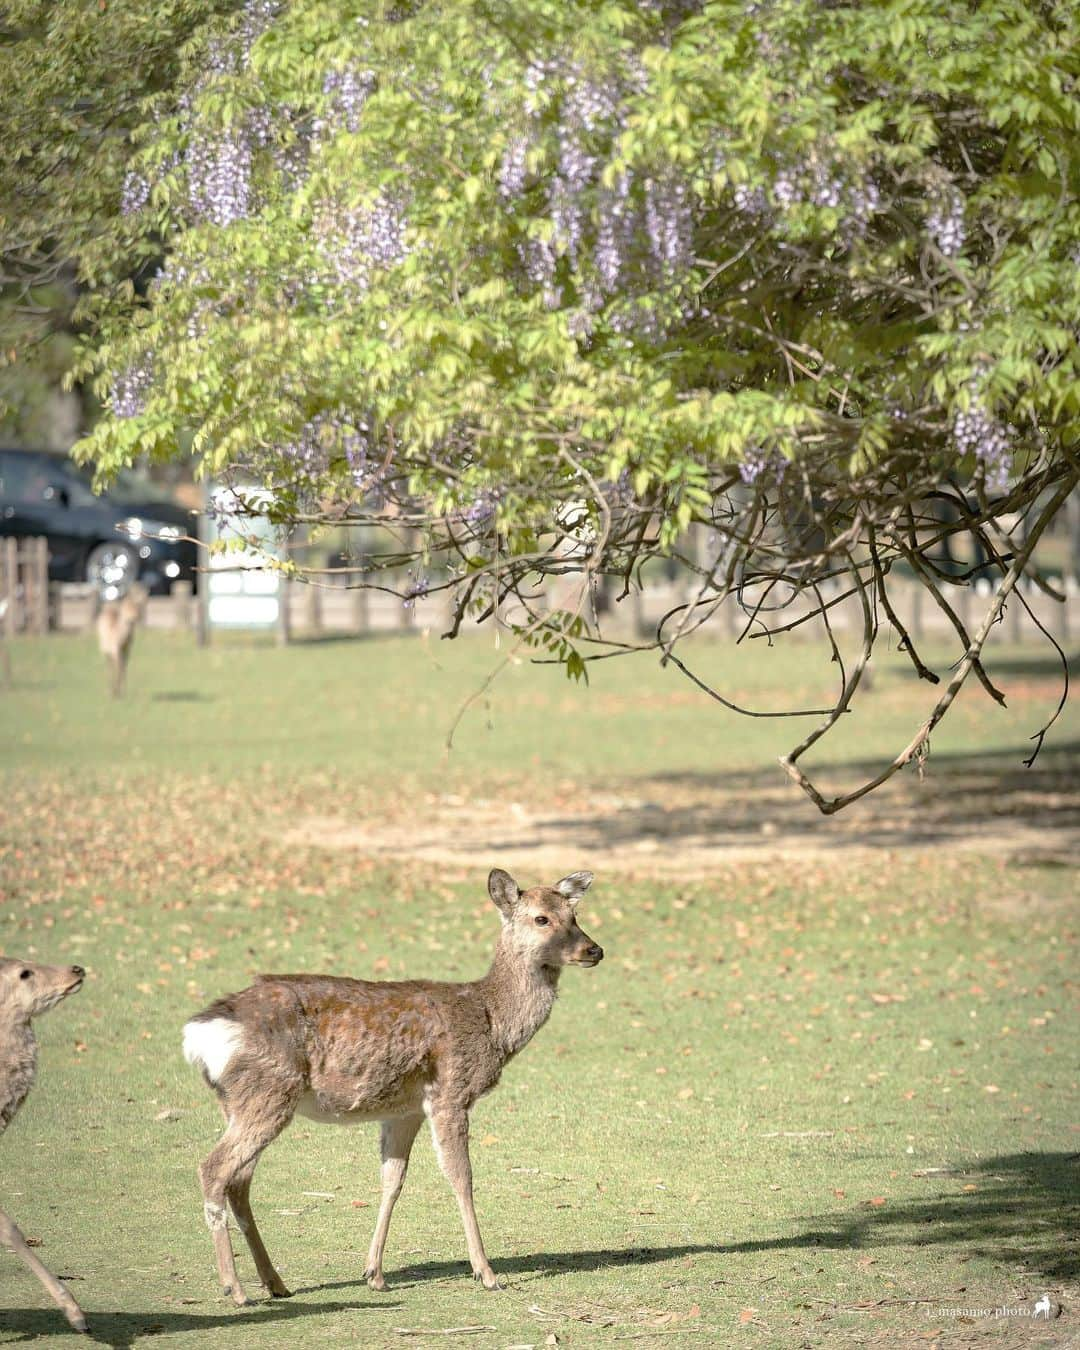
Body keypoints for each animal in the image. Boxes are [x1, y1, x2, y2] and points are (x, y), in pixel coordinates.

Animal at [186, 869, 607, 1301]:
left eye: (574, 915)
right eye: (542, 918)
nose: (594, 950)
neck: (491, 1023)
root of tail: (200, 1032)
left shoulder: (404, 1110)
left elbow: (392, 1180)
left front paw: (374, 1273)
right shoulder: (450, 1091)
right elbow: (462, 1177)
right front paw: (486, 1273)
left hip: (240, 1100)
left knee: (239, 1181)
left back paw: (276, 1282)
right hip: (268, 1091)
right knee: (213, 1168)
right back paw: (235, 1288)